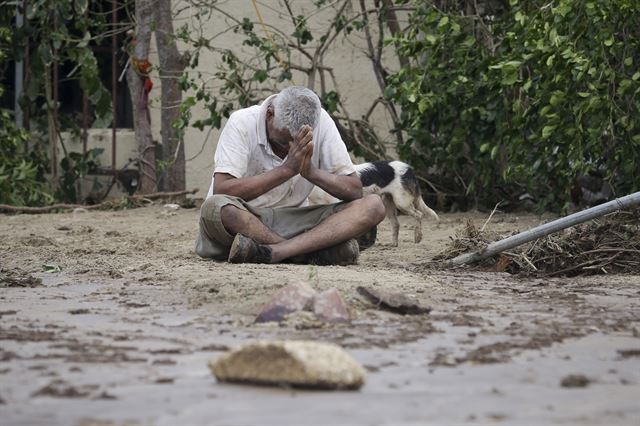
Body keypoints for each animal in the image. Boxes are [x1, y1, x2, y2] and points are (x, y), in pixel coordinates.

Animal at [310, 160, 440, 246]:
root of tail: (409, 169)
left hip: (402, 203)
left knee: (419, 214)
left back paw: (417, 237)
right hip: (388, 203)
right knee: (396, 224)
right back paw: (393, 244)